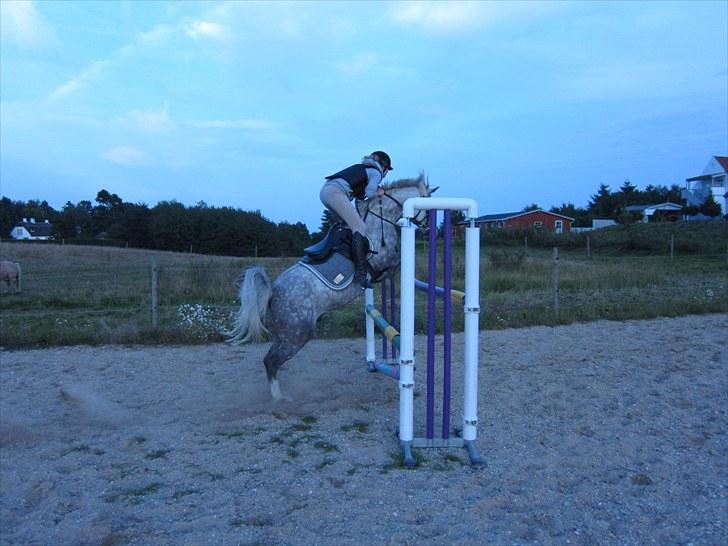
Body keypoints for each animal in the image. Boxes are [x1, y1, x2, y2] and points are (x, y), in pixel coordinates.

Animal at [226, 174, 432, 400]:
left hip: (284, 335)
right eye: (428, 206)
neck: (379, 218)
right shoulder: (382, 261)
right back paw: (280, 398)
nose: (428, 229)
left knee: (271, 359)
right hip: (298, 334)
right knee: (270, 361)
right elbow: (396, 263)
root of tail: (272, 292)